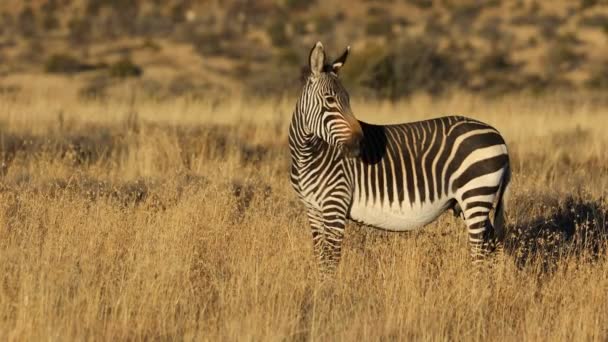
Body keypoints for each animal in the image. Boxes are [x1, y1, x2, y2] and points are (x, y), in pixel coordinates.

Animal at [290, 41, 508, 274]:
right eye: (330, 100)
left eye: (348, 100)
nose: (360, 143)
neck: (306, 155)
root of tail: (498, 135)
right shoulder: (313, 209)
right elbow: (320, 257)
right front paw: (319, 283)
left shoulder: (335, 204)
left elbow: (329, 260)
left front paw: (327, 285)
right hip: (473, 200)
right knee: (492, 245)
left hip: (475, 194)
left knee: (480, 250)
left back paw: (478, 283)